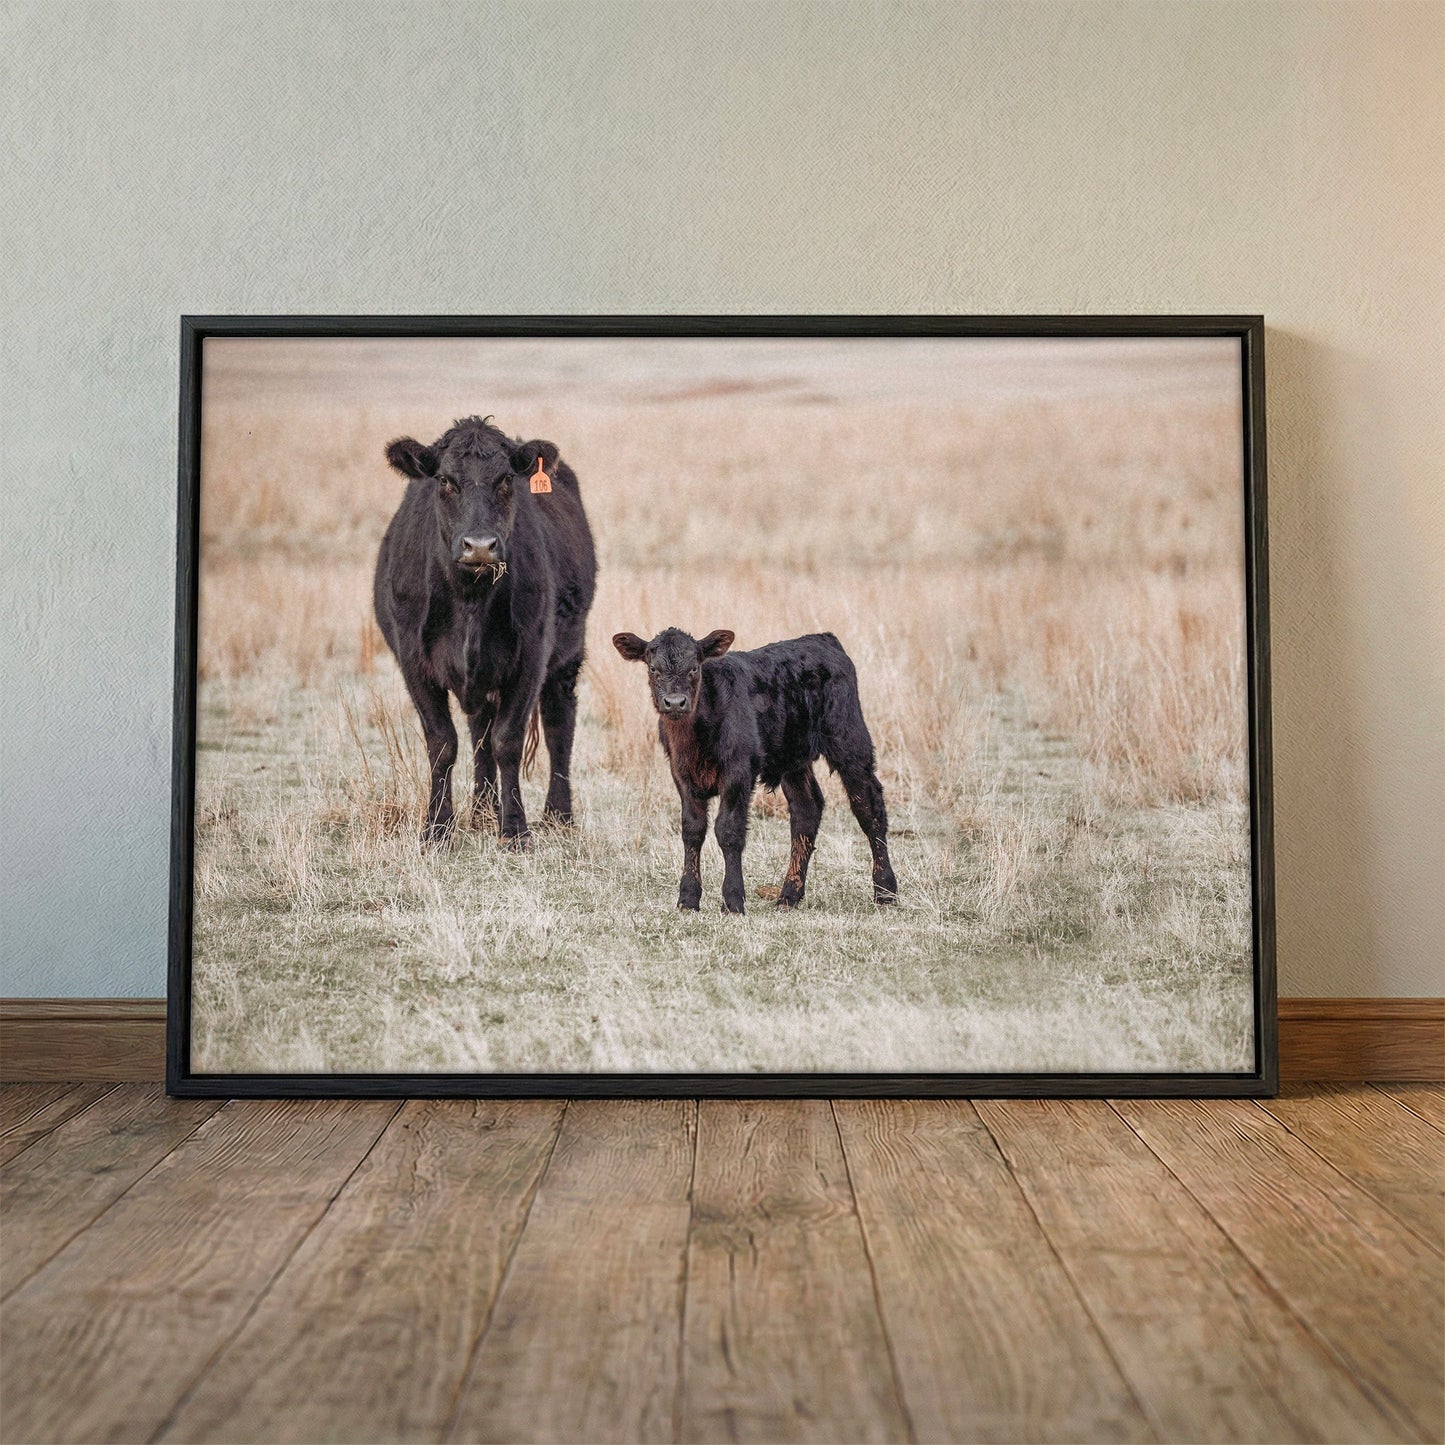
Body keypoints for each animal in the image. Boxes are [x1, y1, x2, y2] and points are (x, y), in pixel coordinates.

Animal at [374, 415, 596, 848]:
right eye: (445, 480)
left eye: (506, 478)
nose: (479, 546)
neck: (470, 600)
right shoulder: (414, 662)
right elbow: (443, 742)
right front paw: (437, 828)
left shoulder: (531, 657)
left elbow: (506, 741)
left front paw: (515, 831)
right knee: (480, 731)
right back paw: (481, 809)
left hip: (567, 657)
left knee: (559, 725)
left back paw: (558, 815)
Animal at [610, 627, 898, 913]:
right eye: (653, 668)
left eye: (694, 667)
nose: (674, 702)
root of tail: (823, 638)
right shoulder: (681, 774)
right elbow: (692, 830)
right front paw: (688, 899)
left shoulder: (739, 771)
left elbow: (728, 830)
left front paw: (733, 900)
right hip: (793, 758)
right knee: (806, 810)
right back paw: (789, 895)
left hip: (849, 740)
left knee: (869, 808)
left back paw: (885, 892)